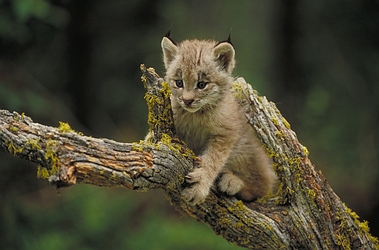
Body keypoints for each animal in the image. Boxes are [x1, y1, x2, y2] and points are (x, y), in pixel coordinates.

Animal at [160, 33, 276, 205]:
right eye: (179, 83)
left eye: (202, 85)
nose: (187, 101)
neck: (196, 113)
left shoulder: (227, 133)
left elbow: (213, 159)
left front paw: (199, 183)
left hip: (245, 147)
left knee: (263, 186)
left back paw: (233, 182)